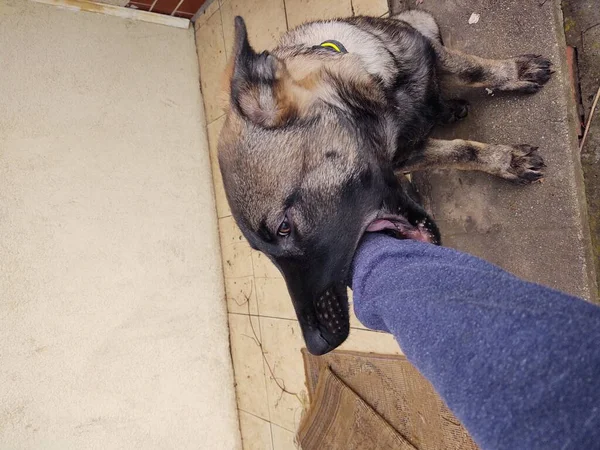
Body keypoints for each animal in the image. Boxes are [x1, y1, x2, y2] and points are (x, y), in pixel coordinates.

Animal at [218, 9, 552, 356]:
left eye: (284, 227)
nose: (317, 344)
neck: (386, 99)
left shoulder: (431, 52)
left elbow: (472, 69)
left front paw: (513, 74)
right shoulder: (408, 156)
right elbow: (461, 151)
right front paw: (504, 160)